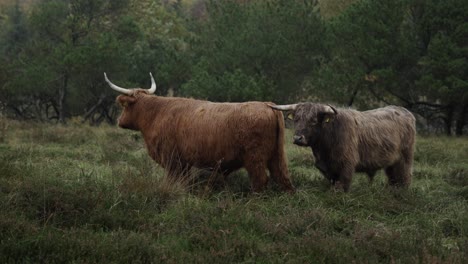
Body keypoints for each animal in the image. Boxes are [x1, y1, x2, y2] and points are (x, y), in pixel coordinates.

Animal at [104, 72, 294, 192]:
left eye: (125, 106)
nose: (119, 121)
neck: (156, 113)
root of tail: (267, 105)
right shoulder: (183, 163)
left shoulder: (171, 159)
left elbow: (171, 181)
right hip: (276, 156)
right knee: (283, 179)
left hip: (255, 158)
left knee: (260, 181)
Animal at [270, 103, 416, 192]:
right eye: (296, 120)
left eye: (313, 121)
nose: (297, 138)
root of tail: (406, 111)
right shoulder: (328, 170)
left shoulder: (347, 165)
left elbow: (342, 186)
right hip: (391, 163)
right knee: (393, 178)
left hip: (405, 159)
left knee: (405, 178)